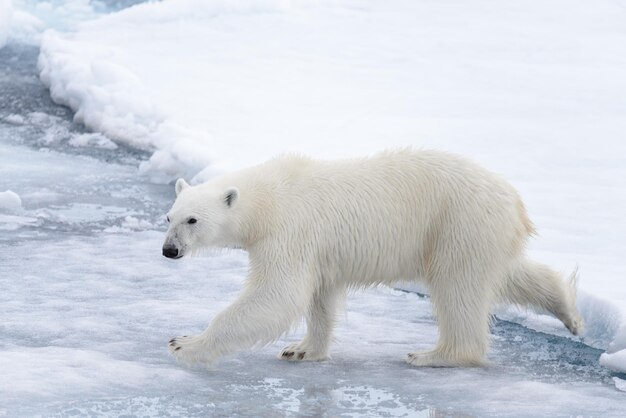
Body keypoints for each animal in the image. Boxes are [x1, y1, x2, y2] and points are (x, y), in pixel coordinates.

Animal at [162, 149, 580, 368]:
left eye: (192, 220)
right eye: (169, 217)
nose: (169, 250)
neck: (267, 199)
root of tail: (515, 201)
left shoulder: (288, 231)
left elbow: (278, 294)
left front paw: (186, 343)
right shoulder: (318, 248)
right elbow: (320, 297)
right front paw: (302, 349)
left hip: (458, 223)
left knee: (458, 287)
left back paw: (433, 355)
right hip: (484, 232)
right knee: (507, 274)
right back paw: (570, 312)